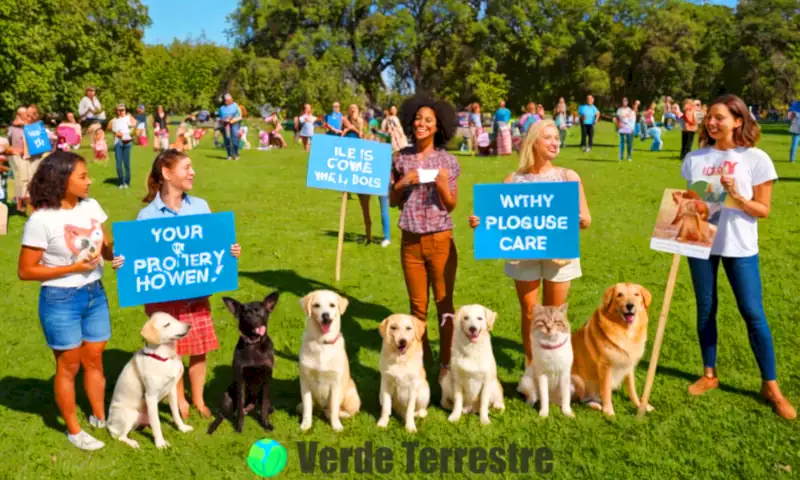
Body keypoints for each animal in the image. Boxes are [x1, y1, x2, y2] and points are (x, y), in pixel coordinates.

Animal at [107, 314, 193, 448]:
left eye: (174, 319)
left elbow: (176, 413)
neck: (163, 358)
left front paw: (182, 428)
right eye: (167, 324)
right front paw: (160, 444)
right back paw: (133, 443)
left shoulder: (172, 390)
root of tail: (108, 423)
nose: (189, 325)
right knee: (119, 436)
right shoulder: (151, 397)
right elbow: (157, 423)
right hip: (131, 414)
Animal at [208, 290, 280, 434]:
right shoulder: (240, 380)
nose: (255, 322)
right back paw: (213, 426)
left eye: (260, 312)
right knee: (222, 415)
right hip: (228, 395)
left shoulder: (266, 380)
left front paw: (266, 424)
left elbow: (264, 407)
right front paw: (239, 426)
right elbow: (240, 406)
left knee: (265, 407)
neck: (254, 344)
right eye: (246, 314)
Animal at [298, 290, 360, 434]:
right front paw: (306, 425)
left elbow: (334, 409)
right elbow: (307, 408)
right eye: (316, 305)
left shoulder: (335, 384)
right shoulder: (305, 383)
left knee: (348, 412)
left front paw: (336, 425)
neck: (322, 343)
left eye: (332, 305)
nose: (325, 315)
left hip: (351, 396)